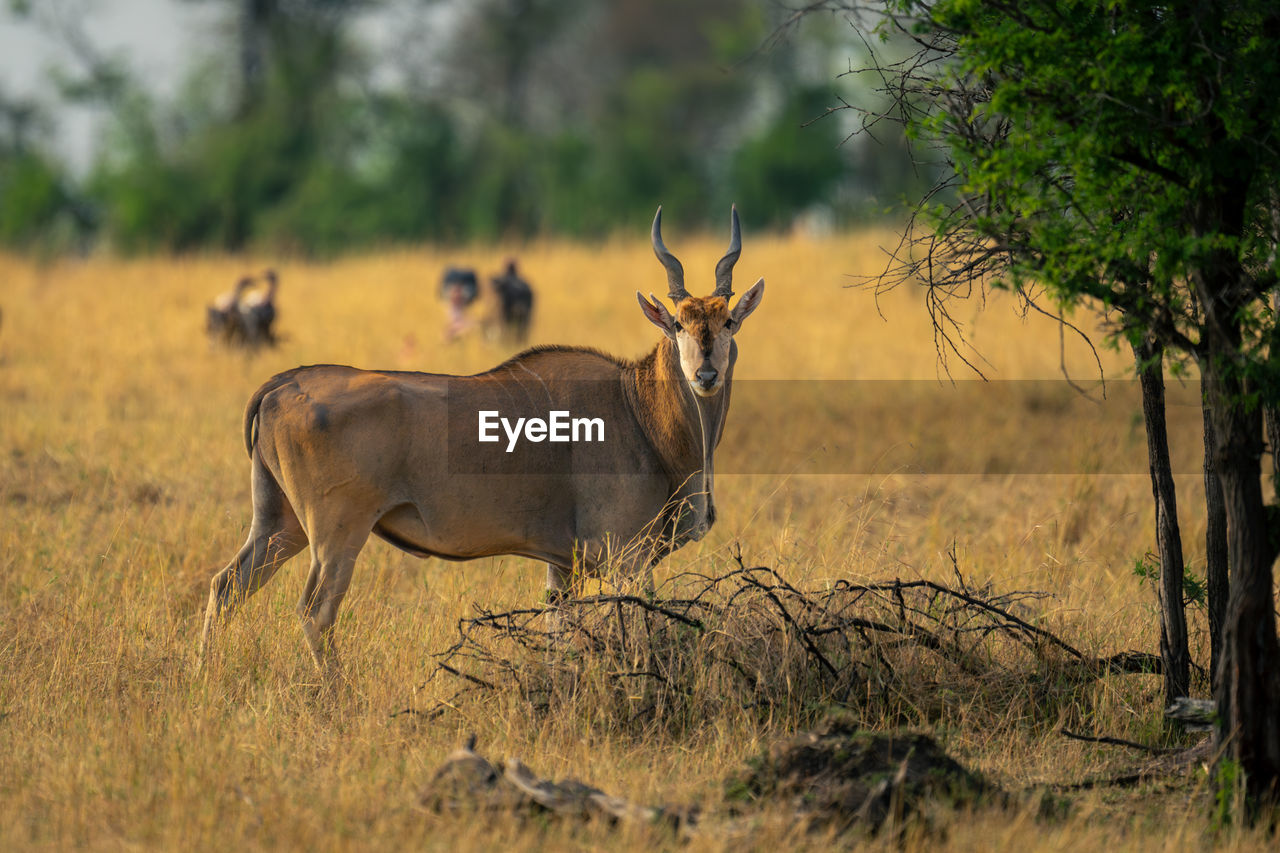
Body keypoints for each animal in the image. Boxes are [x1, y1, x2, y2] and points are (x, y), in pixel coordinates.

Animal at [199, 206, 757, 671]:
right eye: (678, 325)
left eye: (728, 320)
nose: (706, 373)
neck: (636, 405)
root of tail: (283, 382)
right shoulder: (627, 555)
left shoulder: (564, 565)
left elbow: (558, 631)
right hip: (337, 533)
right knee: (315, 612)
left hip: (280, 525)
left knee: (225, 586)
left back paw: (205, 675)